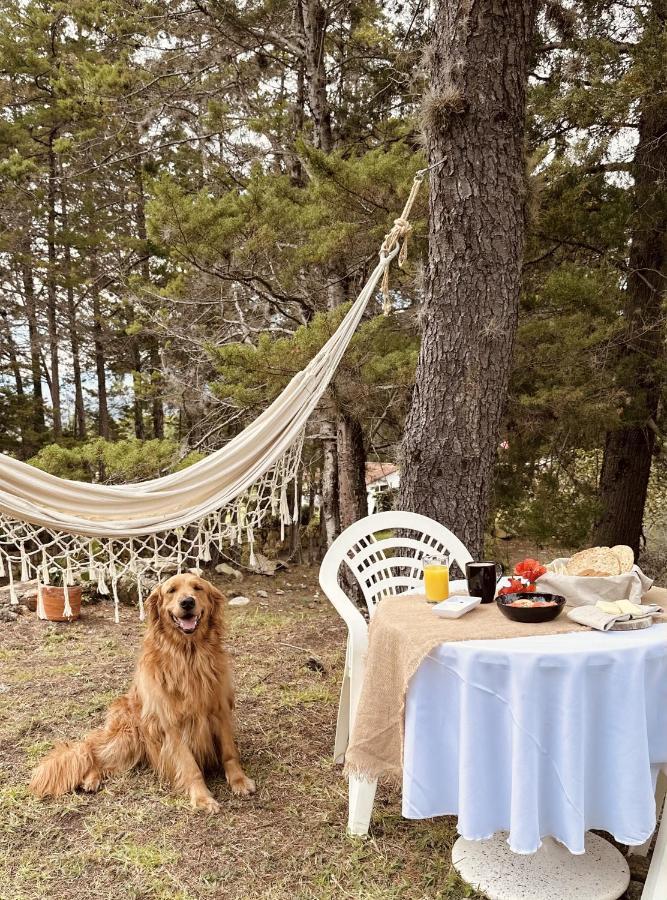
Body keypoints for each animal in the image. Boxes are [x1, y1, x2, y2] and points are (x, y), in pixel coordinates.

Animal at [28, 576, 256, 816]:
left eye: (198, 588)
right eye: (172, 590)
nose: (187, 602)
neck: (188, 655)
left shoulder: (220, 711)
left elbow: (229, 753)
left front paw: (239, 780)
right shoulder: (171, 724)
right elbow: (189, 765)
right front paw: (202, 797)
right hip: (127, 738)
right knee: (93, 753)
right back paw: (91, 778)